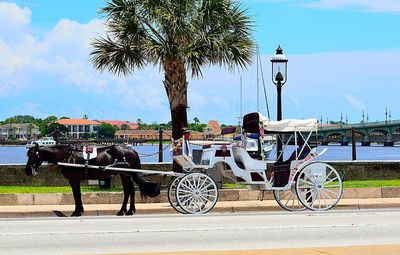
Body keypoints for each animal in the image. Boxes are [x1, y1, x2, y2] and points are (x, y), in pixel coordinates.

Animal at [24, 144, 159, 216]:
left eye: (33, 155)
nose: (27, 170)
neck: (67, 156)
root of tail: (132, 150)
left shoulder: (74, 179)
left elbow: (76, 195)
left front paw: (77, 211)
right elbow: (77, 195)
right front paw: (79, 210)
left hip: (125, 174)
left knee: (129, 190)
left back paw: (125, 210)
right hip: (124, 174)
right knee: (129, 190)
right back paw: (127, 210)